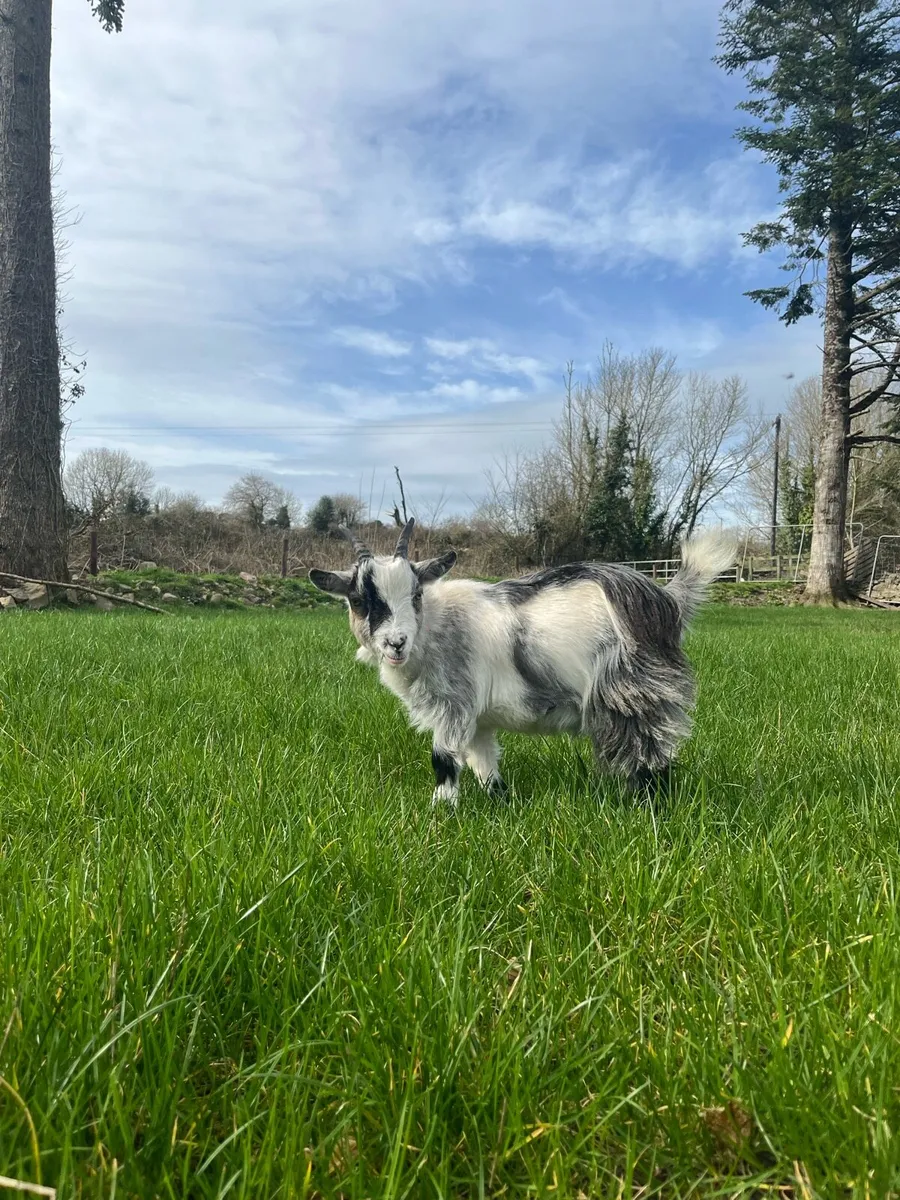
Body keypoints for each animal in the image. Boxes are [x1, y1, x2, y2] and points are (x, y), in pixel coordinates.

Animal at [309, 520, 736, 806]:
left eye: (416, 594)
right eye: (359, 600)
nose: (396, 643)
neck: (434, 626)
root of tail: (667, 599)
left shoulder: (454, 704)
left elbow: (444, 759)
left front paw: (440, 812)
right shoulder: (477, 718)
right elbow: (484, 762)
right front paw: (500, 801)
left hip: (635, 690)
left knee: (653, 753)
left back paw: (649, 806)